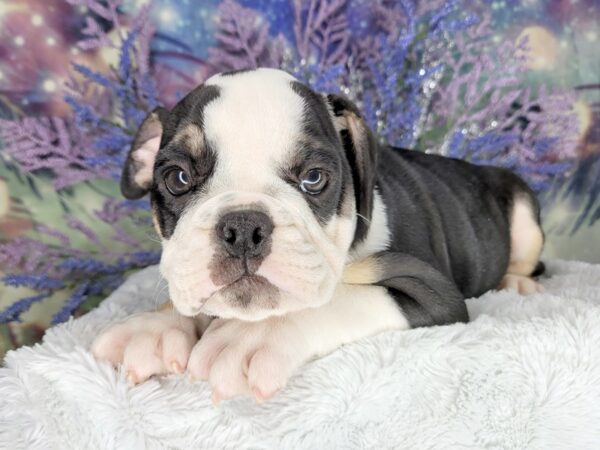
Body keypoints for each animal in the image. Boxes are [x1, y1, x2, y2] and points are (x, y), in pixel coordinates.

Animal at [91, 68, 548, 402]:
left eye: (314, 178)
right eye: (178, 178)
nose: (243, 227)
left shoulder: (431, 290)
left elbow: (337, 300)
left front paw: (249, 336)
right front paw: (153, 326)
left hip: (525, 216)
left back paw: (518, 282)